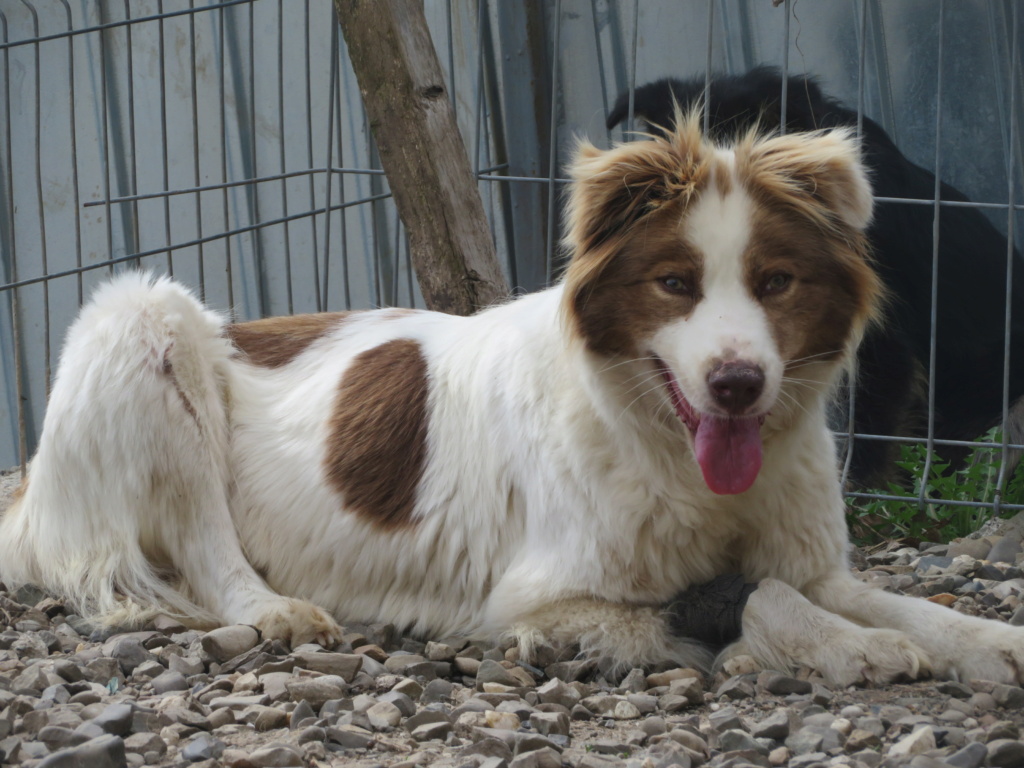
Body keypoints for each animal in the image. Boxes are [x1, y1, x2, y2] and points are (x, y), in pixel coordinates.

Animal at [2, 115, 1024, 684]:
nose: (737, 383)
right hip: (142, 317)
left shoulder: (815, 559)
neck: (657, 441)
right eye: (675, 283)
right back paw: (273, 609)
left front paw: (979, 638)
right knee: (206, 549)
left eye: (776, 282)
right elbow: (744, 597)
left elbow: (887, 600)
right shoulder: (540, 598)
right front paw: (845, 648)